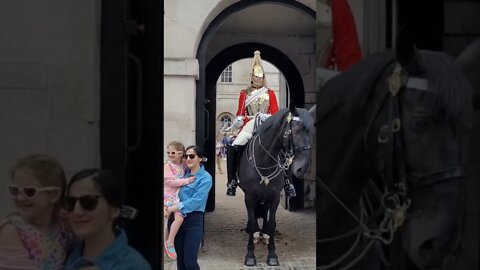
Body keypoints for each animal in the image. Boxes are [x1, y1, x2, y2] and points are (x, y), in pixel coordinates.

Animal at [236, 103, 316, 266]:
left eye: (311, 132)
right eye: (297, 131)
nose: (303, 169)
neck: (264, 161)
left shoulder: (275, 197)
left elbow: (272, 223)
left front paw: (272, 254)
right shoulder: (249, 196)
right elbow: (252, 221)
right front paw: (250, 255)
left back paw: (264, 234)